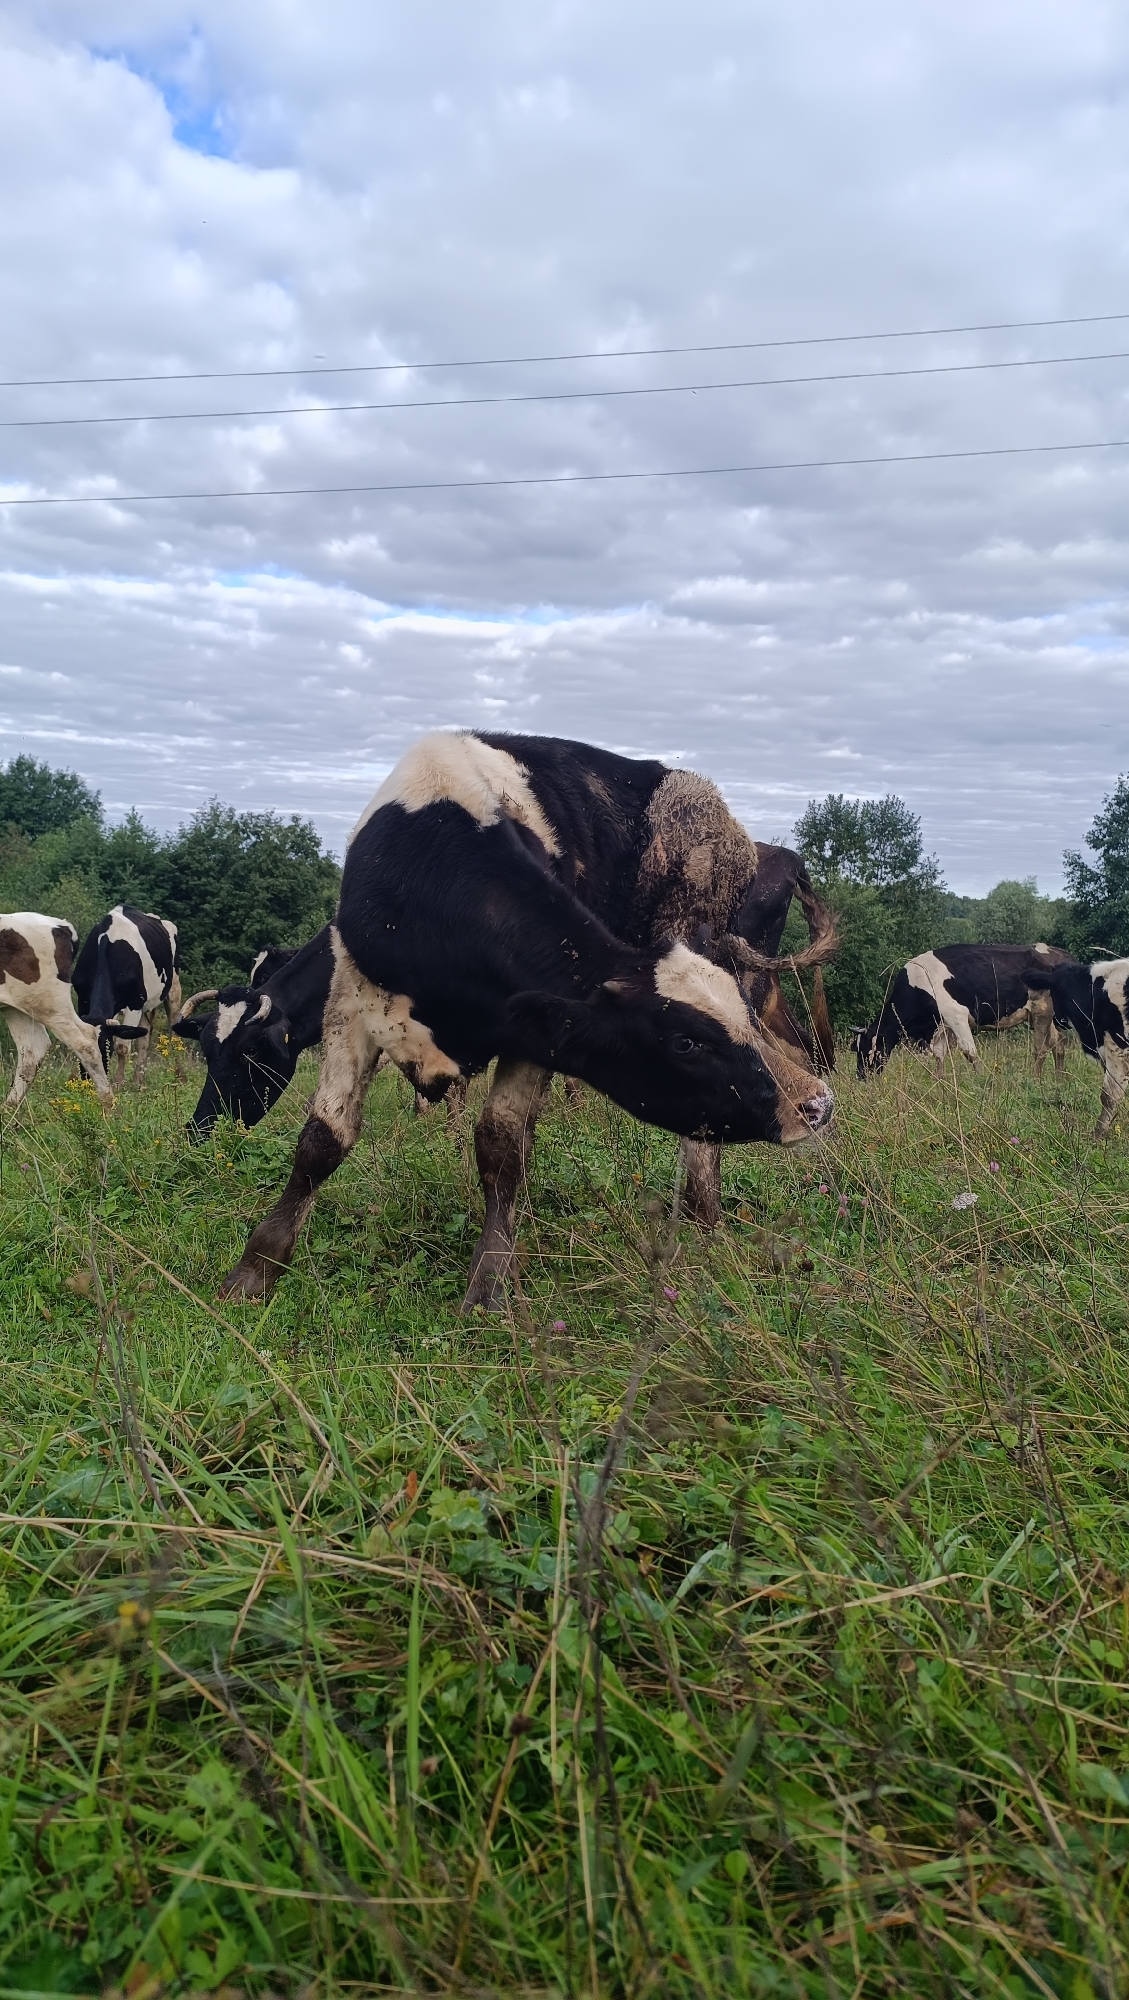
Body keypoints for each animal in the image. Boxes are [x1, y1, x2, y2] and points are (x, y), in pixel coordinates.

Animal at [0, 913, 114, 1108]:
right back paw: (9, 1109)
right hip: (19, 1007)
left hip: (50, 1003)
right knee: (32, 1050)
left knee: (85, 1044)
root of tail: (61, 925)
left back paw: (107, 1104)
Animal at [71, 905, 182, 1086]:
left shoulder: (135, 1003)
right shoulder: (83, 999)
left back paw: (180, 1076)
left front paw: (118, 1083)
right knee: (144, 1037)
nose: (89, 1080)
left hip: (173, 988)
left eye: (105, 1047)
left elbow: (122, 1047)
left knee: (174, 1033)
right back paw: (139, 1081)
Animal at [212, 731, 836, 1312]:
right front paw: (254, 1271)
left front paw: (489, 1283)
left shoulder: (536, 1035)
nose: (817, 1105)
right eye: (685, 1043)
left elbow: (500, 1145)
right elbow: (322, 1141)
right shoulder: (350, 1007)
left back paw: (703, 1222)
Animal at [855, 942, 1077, 1080]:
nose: (860, 1077)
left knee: (1041, 1048)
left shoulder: (956, 1015)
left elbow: (969, 1052)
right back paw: (1059, 1080)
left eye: (863, 1049)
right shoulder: (941, 1025)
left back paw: (1035, 1080)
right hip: (1050, 1016)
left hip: (1042, 1009)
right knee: (1058, 1044)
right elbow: (939, 1055)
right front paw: (939, 1081)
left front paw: (980, 1079)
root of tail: (1061, 955)